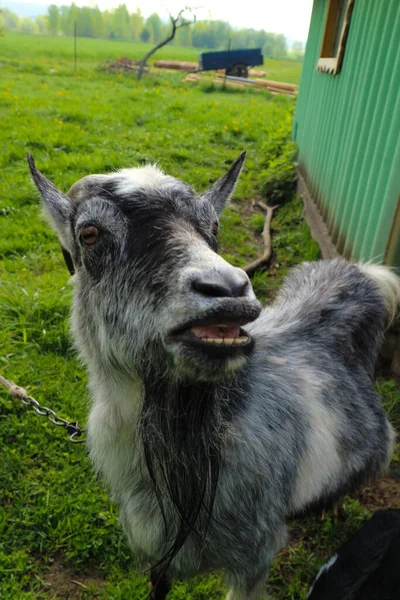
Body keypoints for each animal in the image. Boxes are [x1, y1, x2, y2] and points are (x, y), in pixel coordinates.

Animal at [28, 155, 396, 600]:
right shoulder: (159, 556)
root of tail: (362, 273)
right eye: (90, 233)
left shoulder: (256, 557)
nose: (229, 288)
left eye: (214, 227)